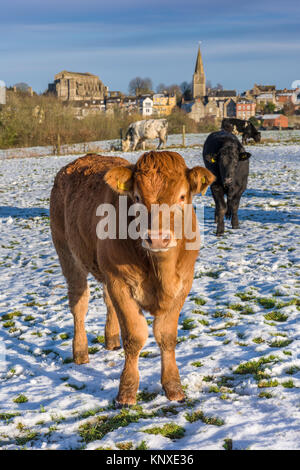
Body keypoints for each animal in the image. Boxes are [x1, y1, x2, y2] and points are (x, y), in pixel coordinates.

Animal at [50, 151, 216, 404]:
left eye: (182, 196)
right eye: (137, 197)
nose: (157, 238)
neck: (160, 271)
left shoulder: (184, 284)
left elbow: (167, 336)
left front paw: (173, 387)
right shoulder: (120, 283)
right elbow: (135, 336)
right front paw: (127, 390)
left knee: (106, 301)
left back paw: (111, 340)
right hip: (67, 255)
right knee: (79, 304)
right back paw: (80, 352)